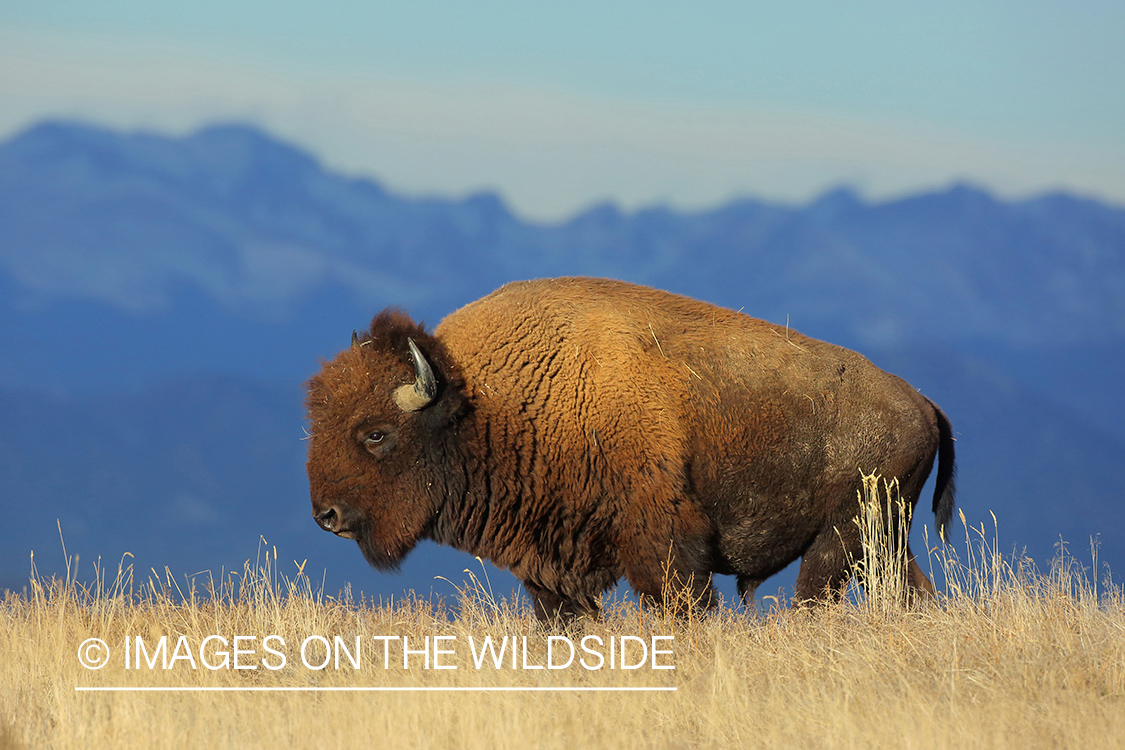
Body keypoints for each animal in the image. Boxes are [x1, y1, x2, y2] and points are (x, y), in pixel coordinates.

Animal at [308, 278, 958, 620]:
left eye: (375, 433)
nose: (326, 515)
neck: (479, 399)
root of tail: (923, 405)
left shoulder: (665, 548)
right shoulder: (549, 572)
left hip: (842, 539)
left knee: (818, 596)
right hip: (881, 541)